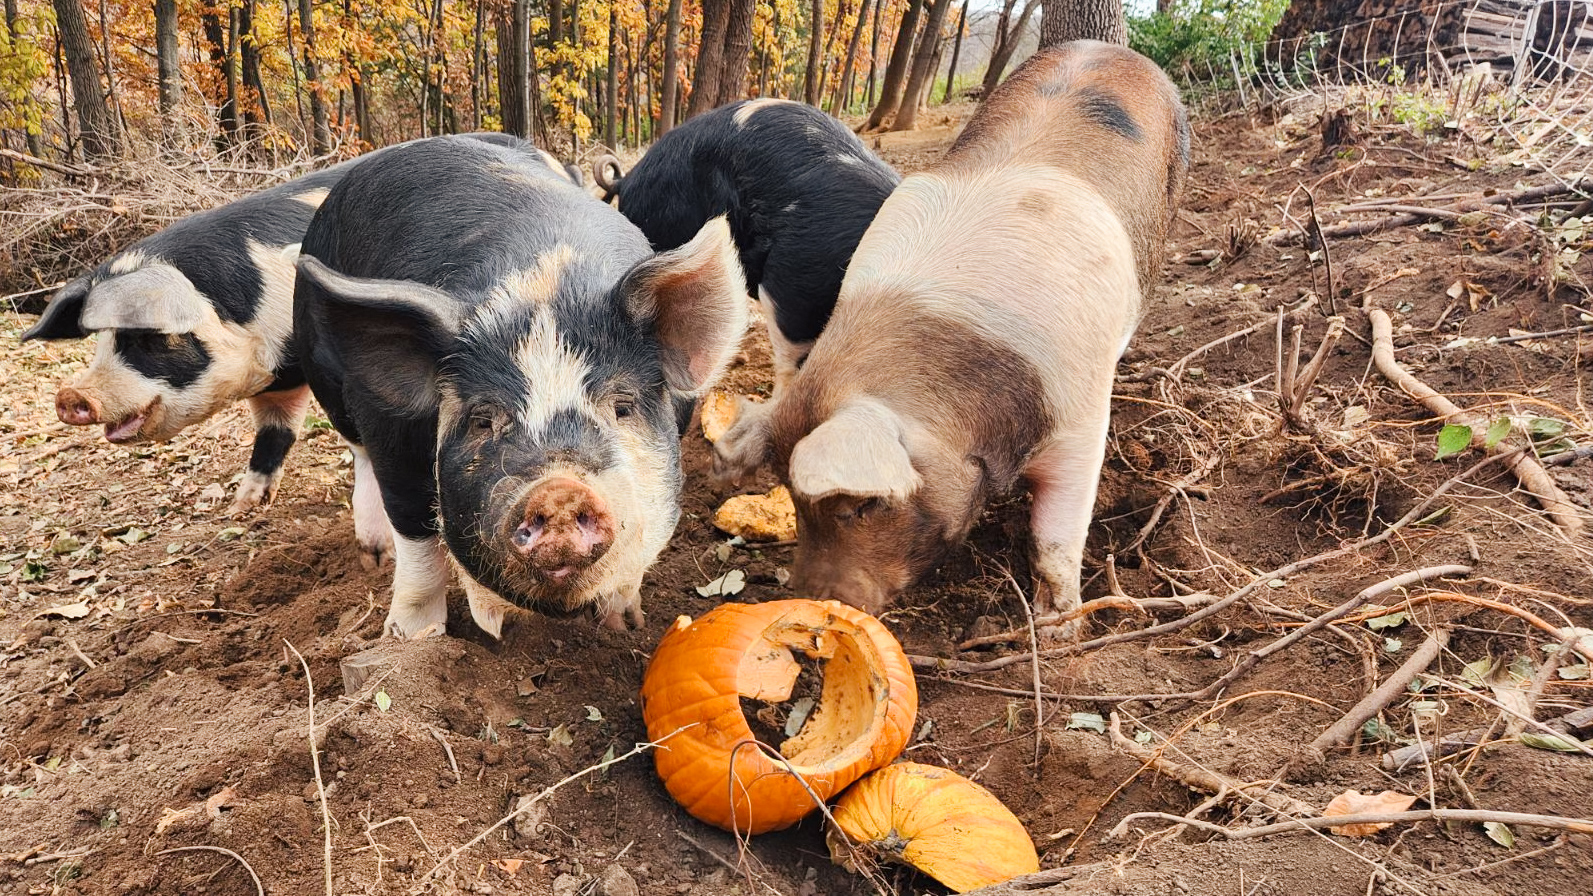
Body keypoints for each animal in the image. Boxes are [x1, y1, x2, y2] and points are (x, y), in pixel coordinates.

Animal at [23, 130, 567, 516]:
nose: (71, 396)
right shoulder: (277, 383)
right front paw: (242, 507)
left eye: (149, 340)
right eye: (98, 342)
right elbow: (274, 434)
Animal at [294, 132, 751, 634]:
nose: (560, 490)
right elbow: (415, 532)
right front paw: (413, 637)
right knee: (359, 456)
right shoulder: (389, 432)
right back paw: (374, 558)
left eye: (623, 405)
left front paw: (624, 624)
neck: (545, 278)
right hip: (327, 380)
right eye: (482, 418)